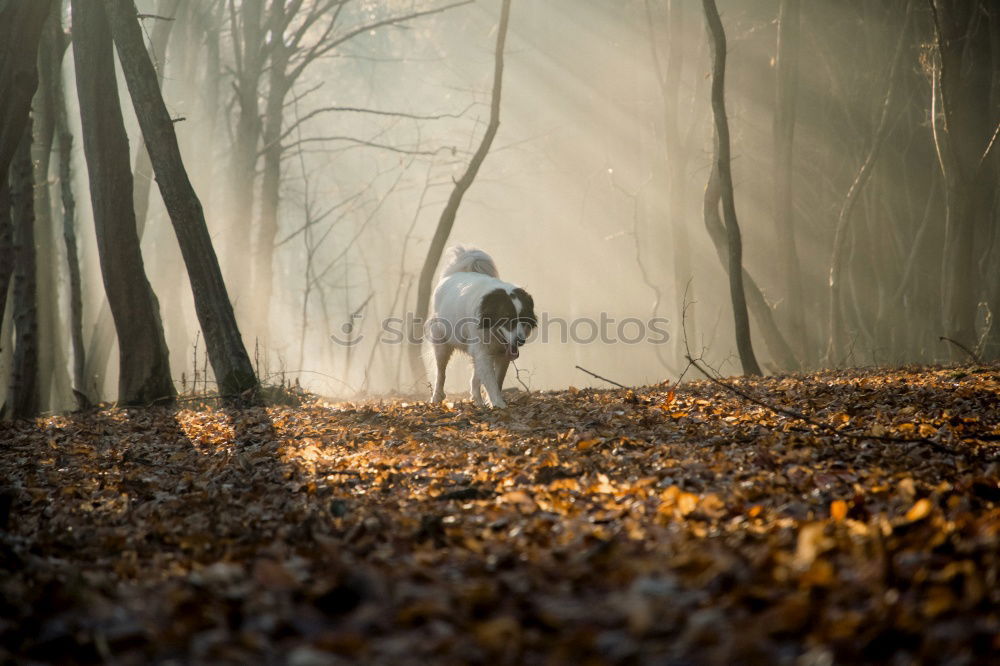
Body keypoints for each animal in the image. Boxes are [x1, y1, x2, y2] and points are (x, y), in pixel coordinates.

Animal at [426, 246, 536, 408]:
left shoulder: (502, 352)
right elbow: (490, 379)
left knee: (474, 377)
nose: (520, 341)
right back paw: (436, 397)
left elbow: (497, 378)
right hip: (441, 341)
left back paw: (477, 401)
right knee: (441, 371)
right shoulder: (483, 350)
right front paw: (499, 404)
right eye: (506, 319)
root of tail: (454, 272)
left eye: (523, 319)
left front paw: (492, 401)